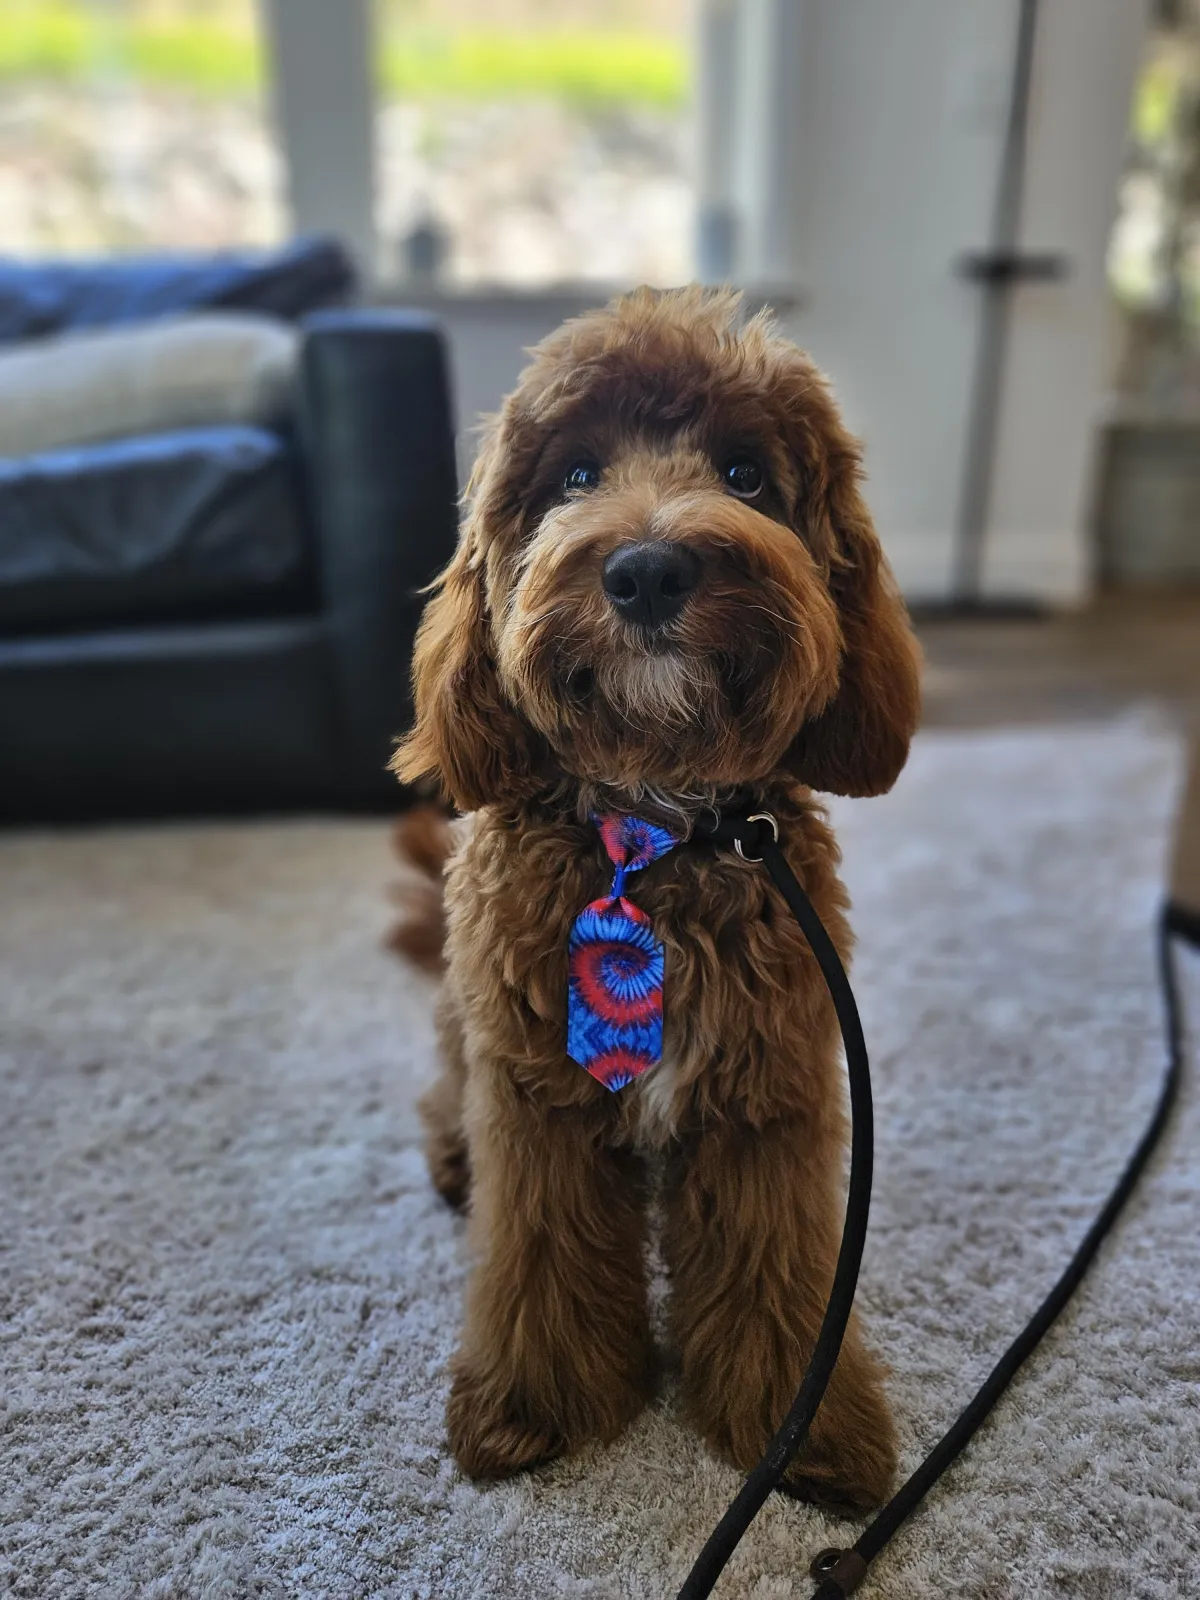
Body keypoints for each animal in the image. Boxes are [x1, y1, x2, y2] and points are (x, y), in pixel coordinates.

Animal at [392, 288, 921, 1510]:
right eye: (576, 474)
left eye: (746, 473)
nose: (646, 571)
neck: (654, 826)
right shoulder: (535, 1097)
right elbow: (536, 1255)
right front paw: (535, 1403)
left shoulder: (769, 1092)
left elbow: (780, 1267)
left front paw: (799, 1426)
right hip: (463, 1025)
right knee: (444, 1093)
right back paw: (451, 1159)